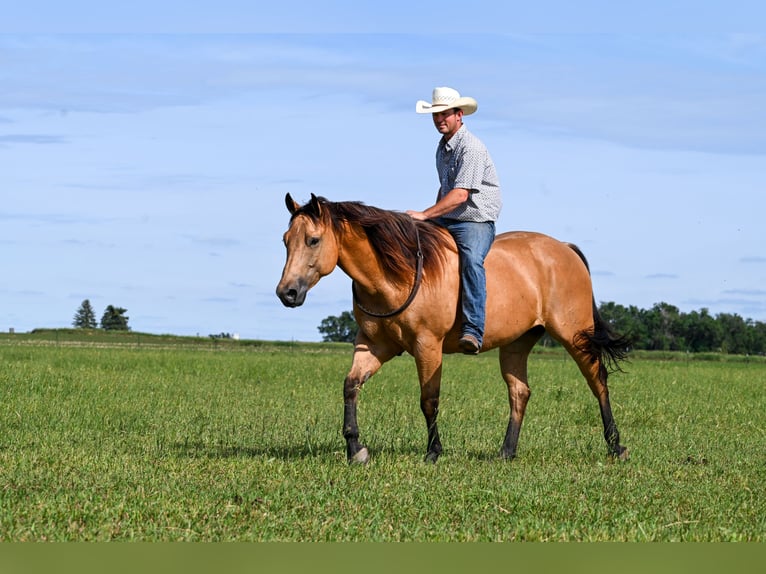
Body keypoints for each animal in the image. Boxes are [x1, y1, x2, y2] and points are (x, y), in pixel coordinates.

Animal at [276, 196, 632, 466]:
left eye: (313, 240)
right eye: (285, 240)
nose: (286, 293)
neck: (398, 273)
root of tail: (564, 248)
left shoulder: (427, 345)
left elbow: (429, 400)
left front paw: (433, 452)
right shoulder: (374, 345)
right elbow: (350, 386)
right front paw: (355, 449)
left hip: (575, 335)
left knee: (598, 381)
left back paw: (616, 446)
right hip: (516, 344)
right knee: (520, 392)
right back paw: (506, 452)